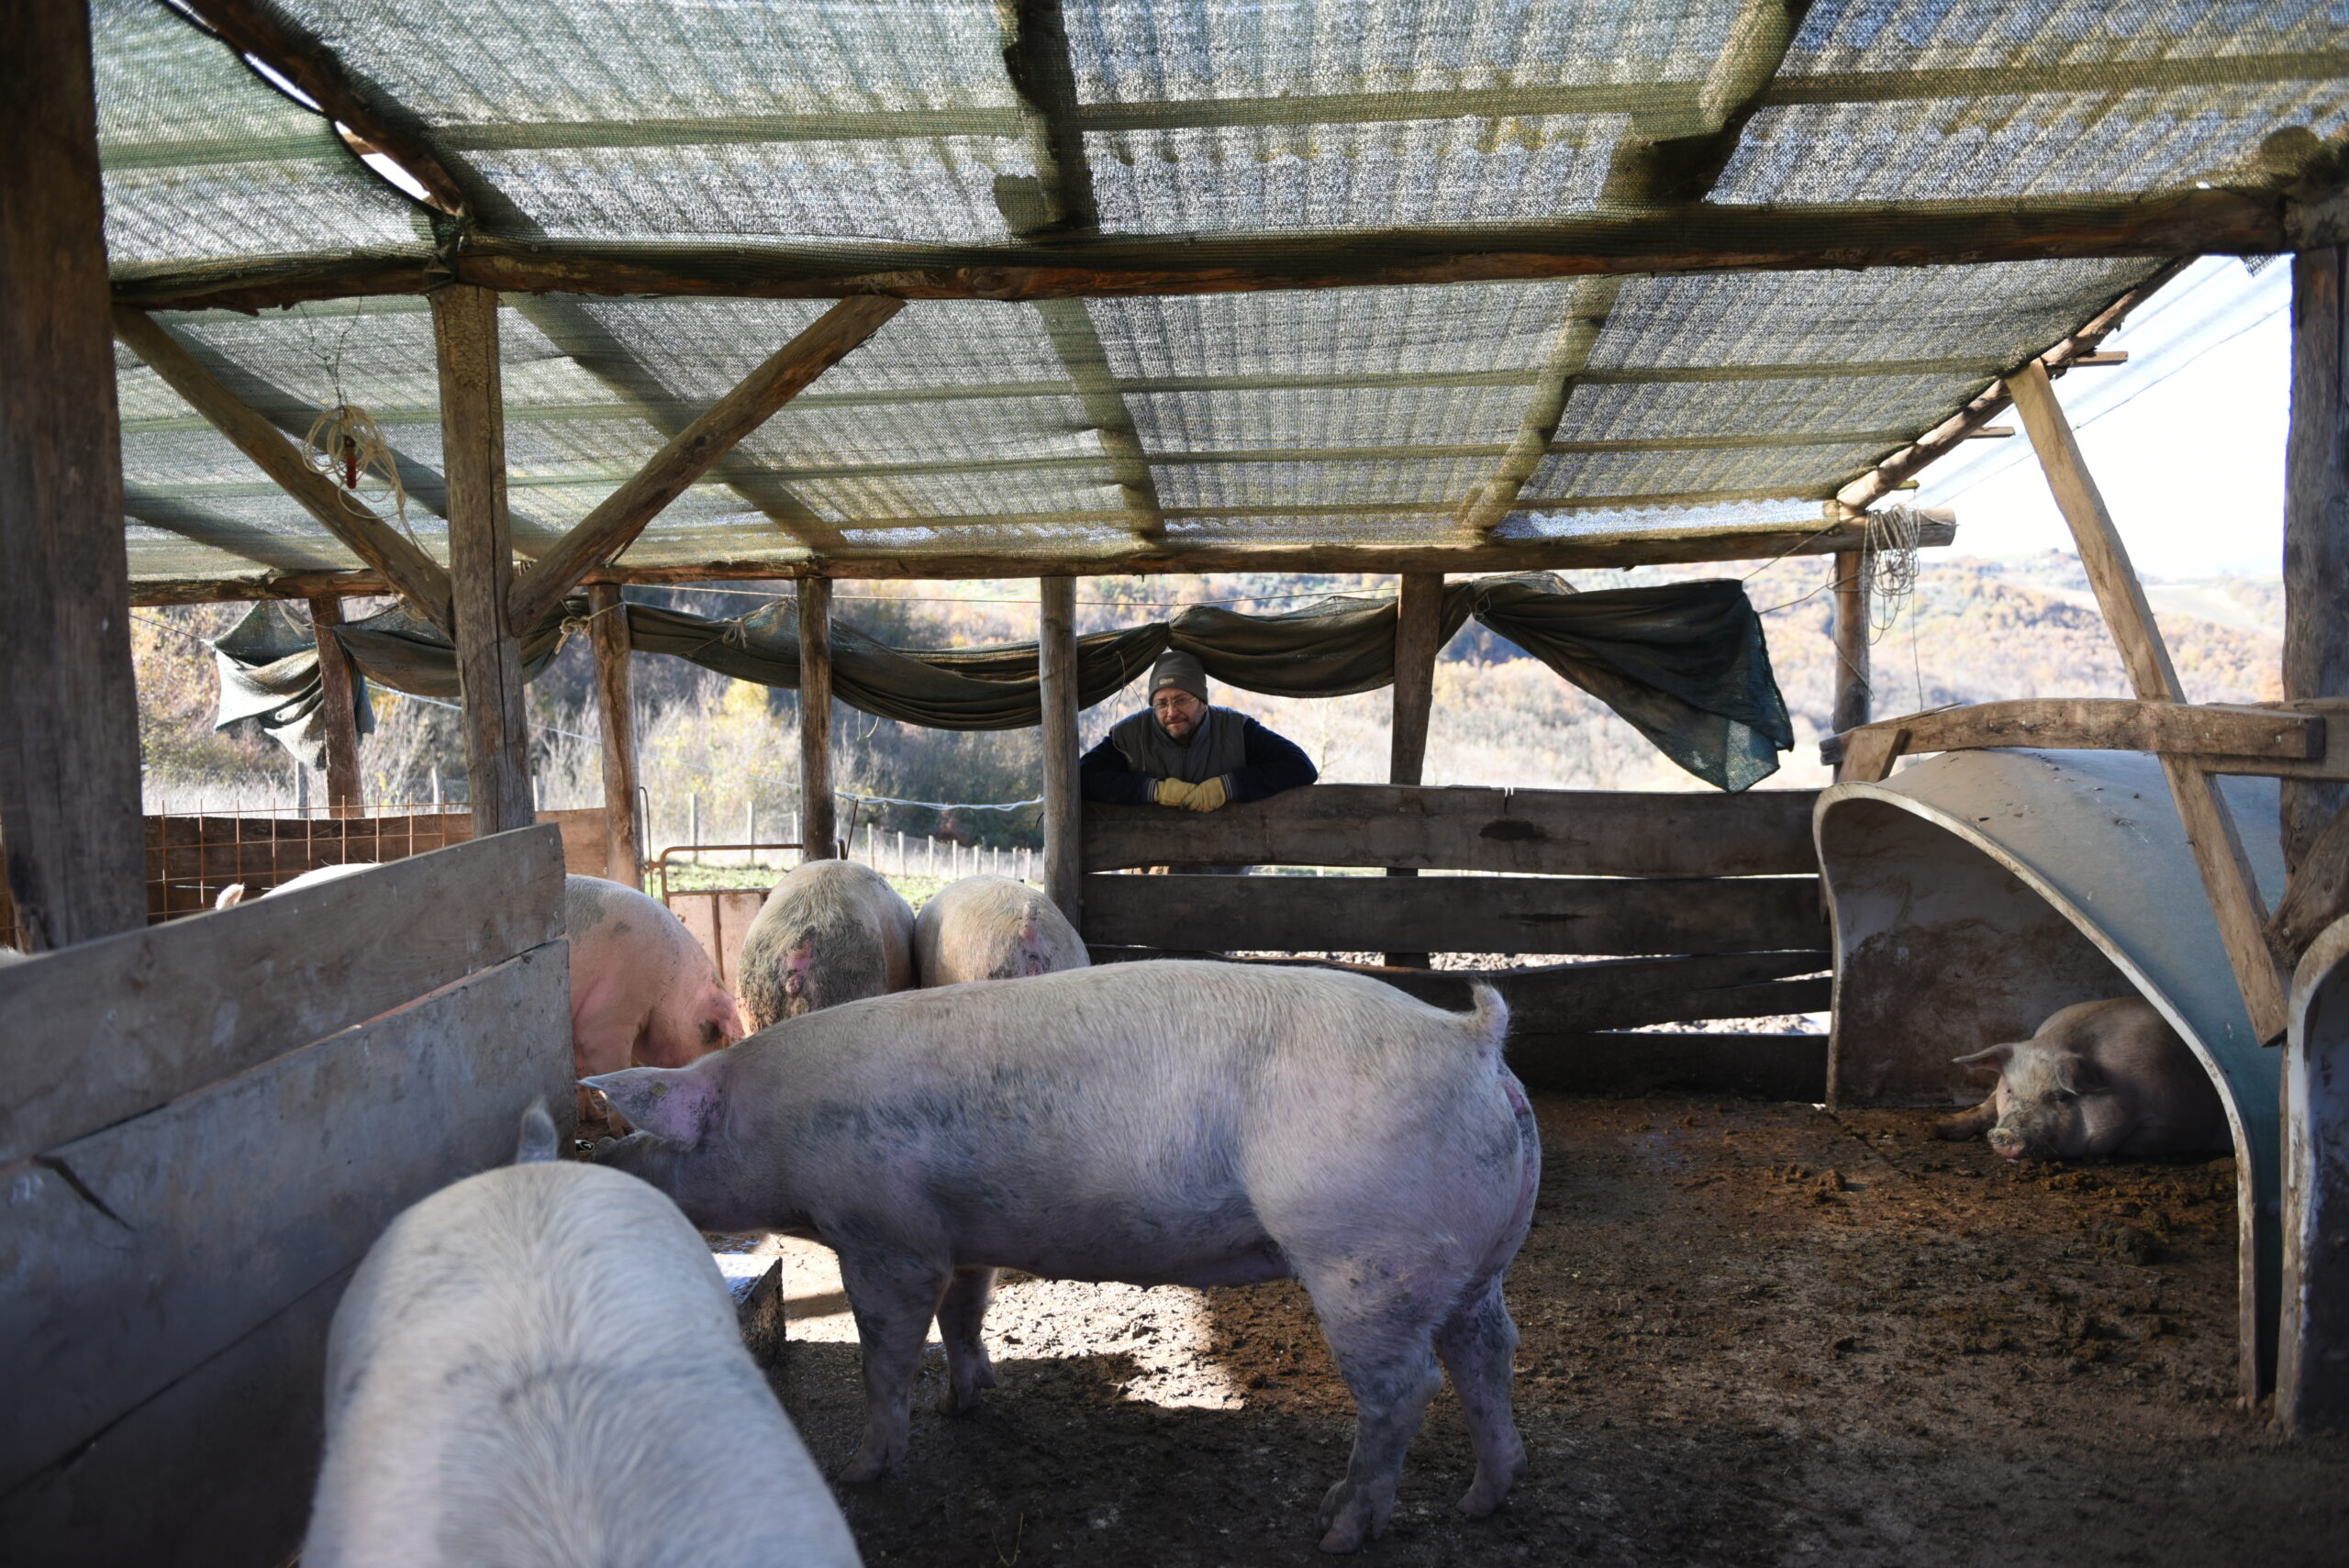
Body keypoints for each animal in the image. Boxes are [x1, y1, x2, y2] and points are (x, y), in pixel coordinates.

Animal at [587, 962, 1541, 1549]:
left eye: (651, 1132)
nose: (602, 1160)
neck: (776, 1124)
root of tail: (1474, 1043)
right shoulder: (965, 1234)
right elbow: (963, 1314)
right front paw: (969, 1402)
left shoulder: (885, 1235)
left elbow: (885, 1352)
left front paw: (860, 1470)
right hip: (1473, 1263)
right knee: (1489, 1353)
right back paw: (1482, 1499)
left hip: (1364, 1257)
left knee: (1404, 1388)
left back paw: (1338, 1525)